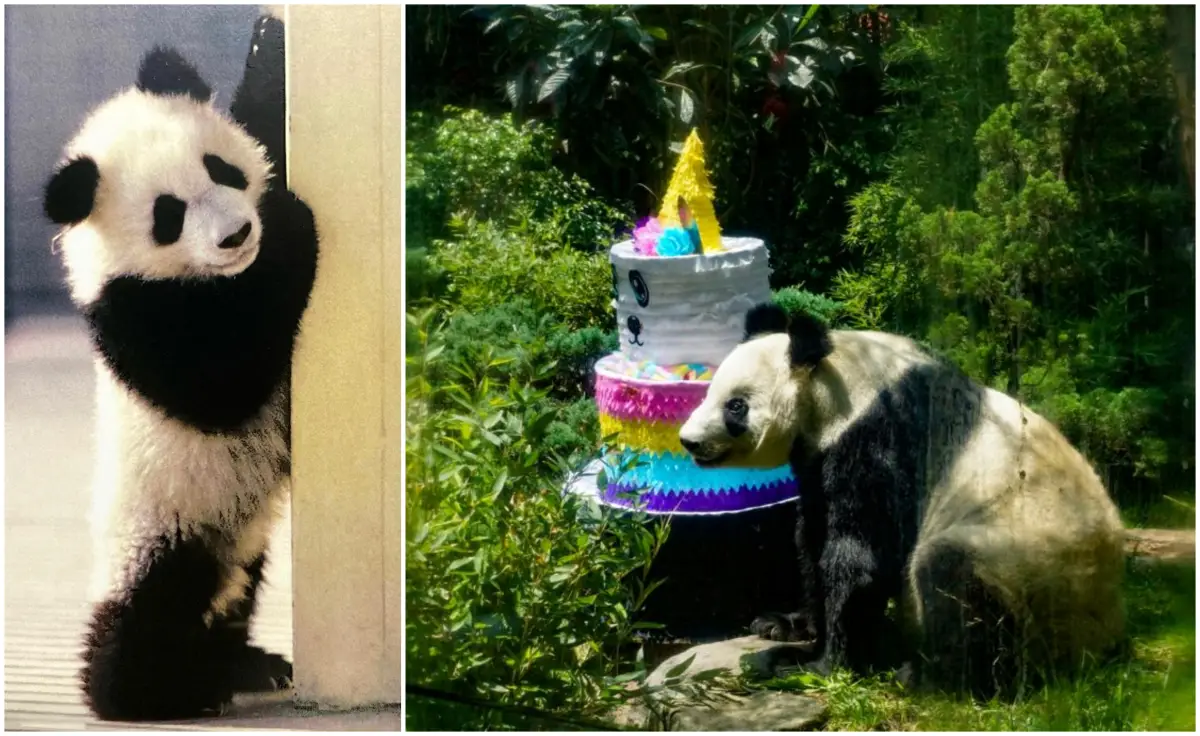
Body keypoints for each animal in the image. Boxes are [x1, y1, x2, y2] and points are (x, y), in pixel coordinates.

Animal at [42, 25, 318, 721]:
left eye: (220, 169)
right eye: (168, 215)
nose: (237, 234)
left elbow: (264, 115)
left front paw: (270, 41)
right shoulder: (134, 314)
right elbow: (220, 386)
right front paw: (293, 225)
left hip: (235, 537)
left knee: (237, 590)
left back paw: (245, 664)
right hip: (160, 523)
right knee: (143, 618)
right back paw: (157, 692)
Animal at [678, 303, 1127, 697]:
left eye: (736, 406)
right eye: (709, 393)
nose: (689, 441)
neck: (843, 385)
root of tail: (1103, 636)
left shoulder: (884, 437)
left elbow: (860, 555)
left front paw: (816, 664)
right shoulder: (818, 456)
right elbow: (811, 539)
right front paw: (786, 626)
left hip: (1029, 560)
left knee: (952, 578)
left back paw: (931, 678)